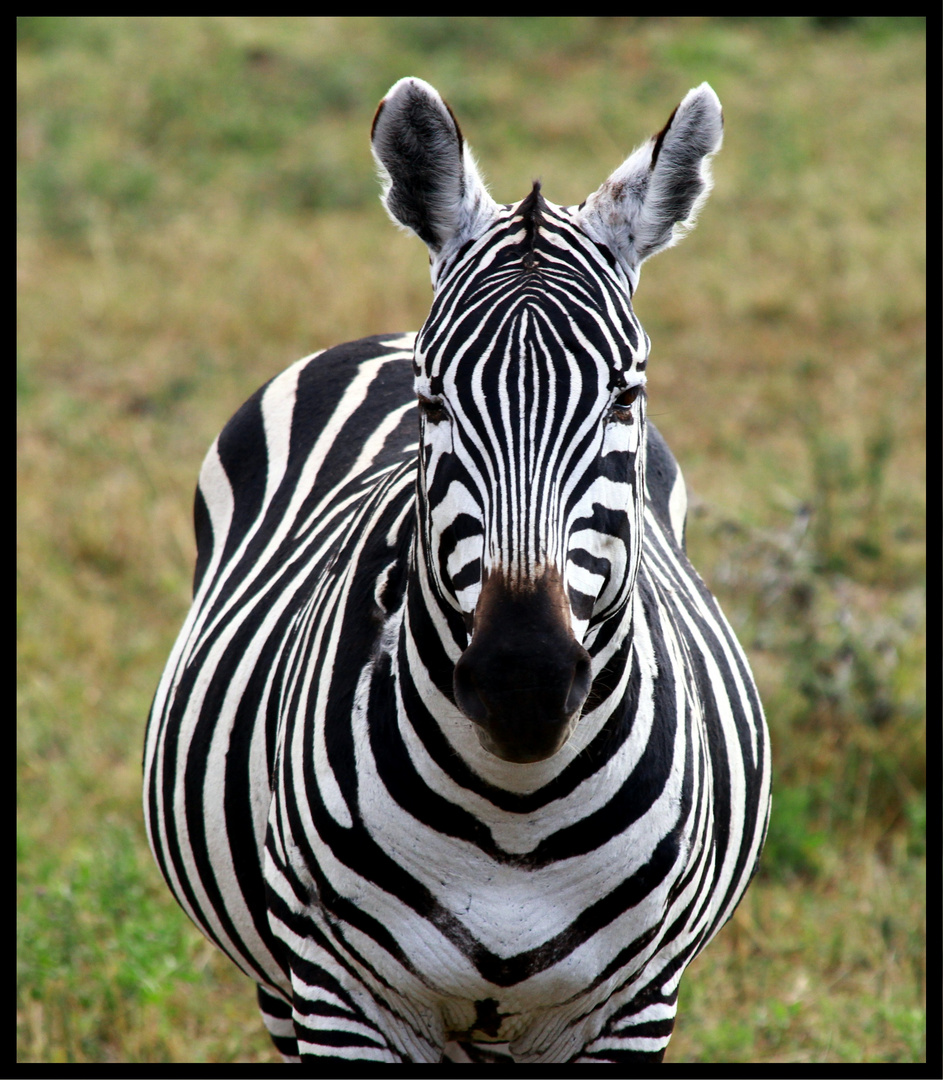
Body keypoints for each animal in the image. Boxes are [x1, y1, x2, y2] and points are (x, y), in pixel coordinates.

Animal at [143, 78, 769, 1062]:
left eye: (625, 395)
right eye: (432, 399)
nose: (523, 681)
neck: (516, 809)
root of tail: (383, 332)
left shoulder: (636, 1006)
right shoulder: (337, 997)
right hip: (277, 981)